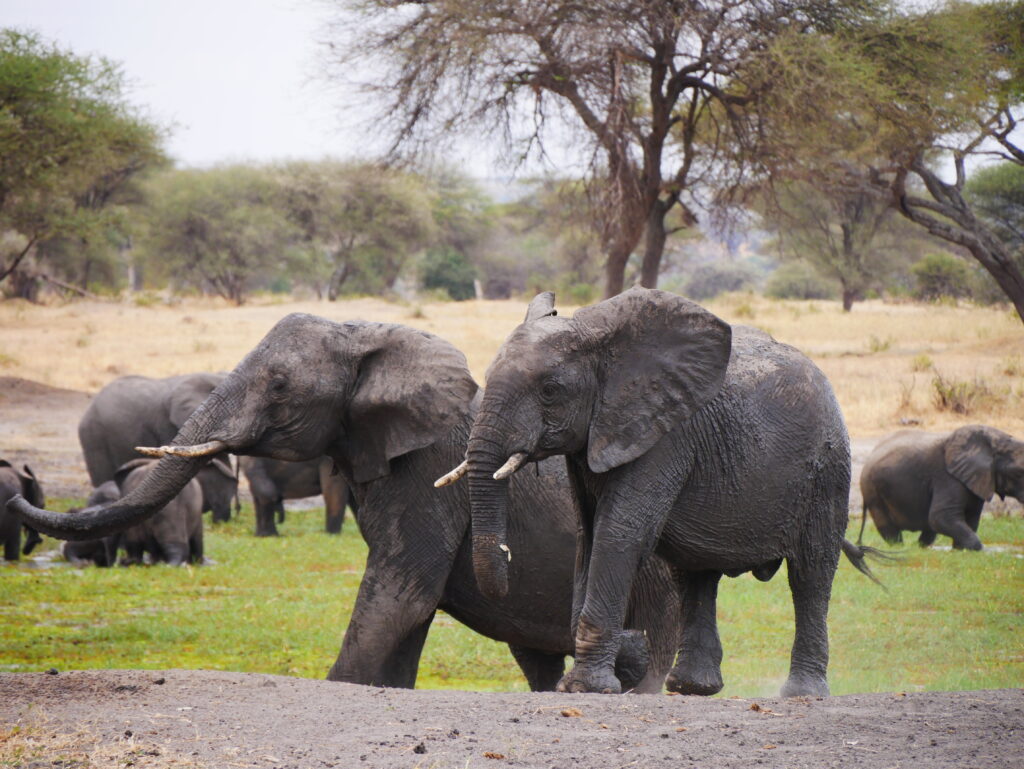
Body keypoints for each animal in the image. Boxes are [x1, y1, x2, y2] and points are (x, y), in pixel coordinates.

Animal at [456, 288, 880, 696]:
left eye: (549, 390)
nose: (636, 639)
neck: (600, 338)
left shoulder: (666, 436)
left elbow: (618, 533)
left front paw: (585, 687)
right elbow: (587, 537)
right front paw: (600, 671)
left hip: (828, 470)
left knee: (810, 572)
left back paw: (802, 693)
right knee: (695, 576)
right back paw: (692, 687)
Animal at [860, 423, 1024, 548]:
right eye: (1018, 473)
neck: (997, 440)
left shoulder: (976, 480)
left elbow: (971, 518)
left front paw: (959, 550)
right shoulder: (948, 478)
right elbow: (941, 516)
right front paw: (976, 549)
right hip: (872, 491)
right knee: (888, 527)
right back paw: (899, 548)